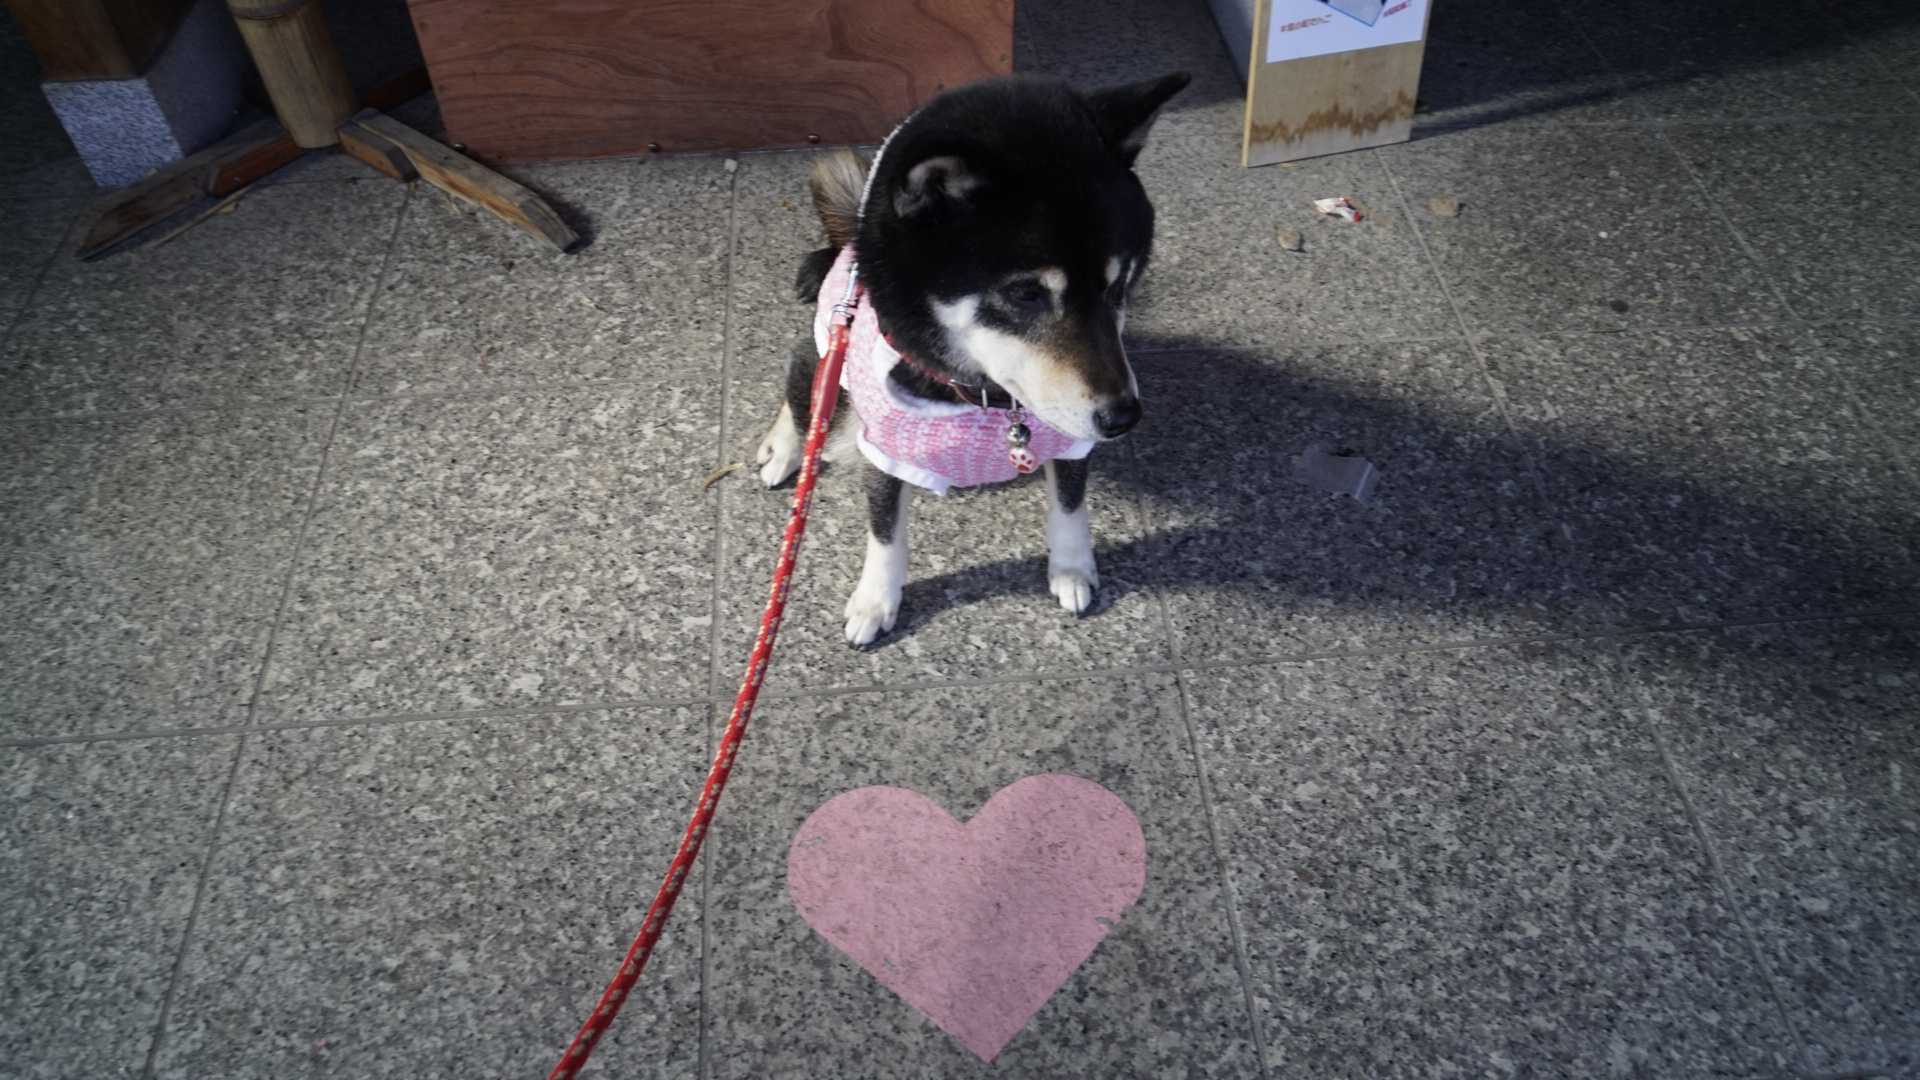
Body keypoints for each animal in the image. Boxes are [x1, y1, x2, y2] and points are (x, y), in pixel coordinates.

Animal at [754, 72, 1190, 647]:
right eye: (1026, 294)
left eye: (1120, 285)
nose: (1123, 416)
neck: (987, 399)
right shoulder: (884, 449)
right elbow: (885, 532)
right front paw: (876, 599)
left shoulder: (1070, 434)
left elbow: (1070, 507)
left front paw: (1072, 568)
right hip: (830, 365)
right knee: (804, 391)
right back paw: (785, 447)